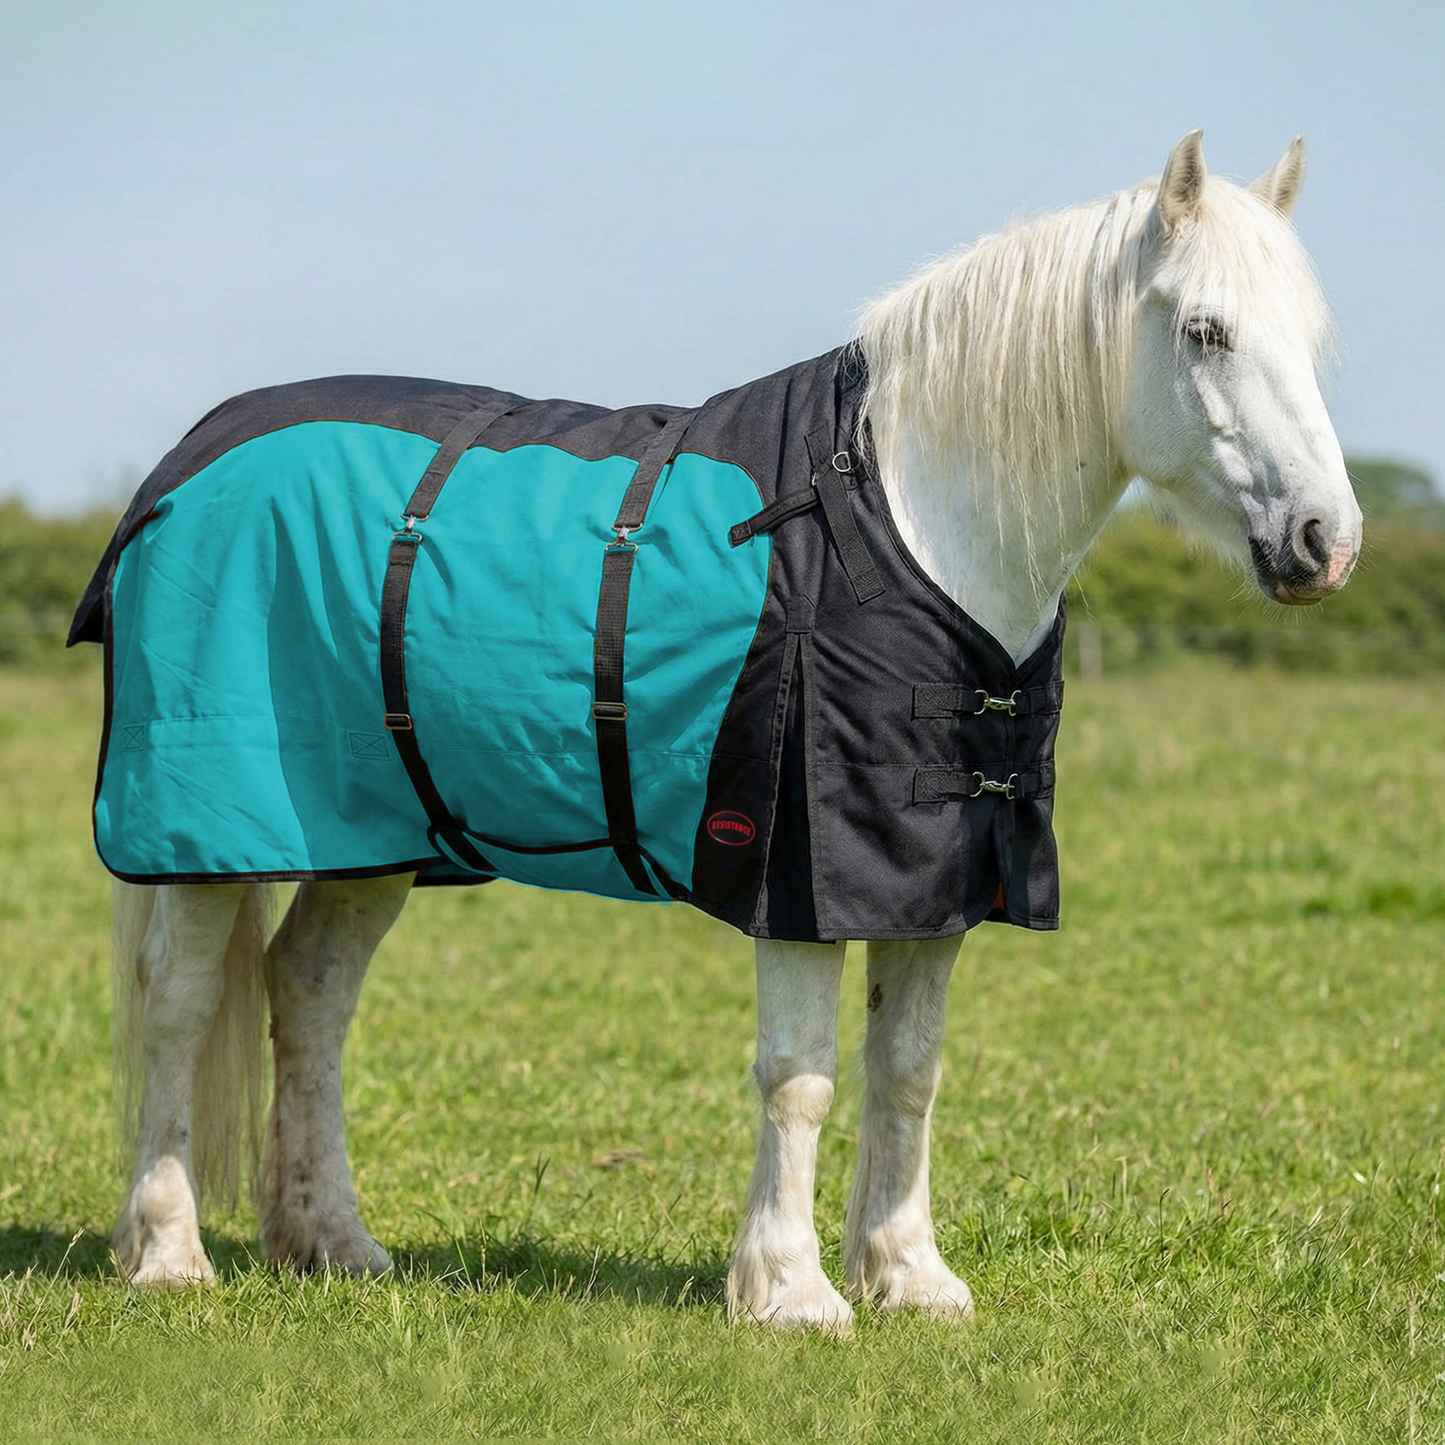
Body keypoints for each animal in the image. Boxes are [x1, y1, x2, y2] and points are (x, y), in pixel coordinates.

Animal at [76, 131, 1359, 1331]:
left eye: (1309, 336)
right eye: (1202, 331)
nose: (1324, 540)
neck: (908, 529)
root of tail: (190, 462)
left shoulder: (929, 877)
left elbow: (907, 1072)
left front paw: (908, 1275)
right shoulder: (798, 868)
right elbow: (799, 1076)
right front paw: (789, 1287)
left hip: (372, 831)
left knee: (309, 993)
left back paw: (330, 1240)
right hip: (204, 826)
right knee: (180, 1005)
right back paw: (168, 1251)